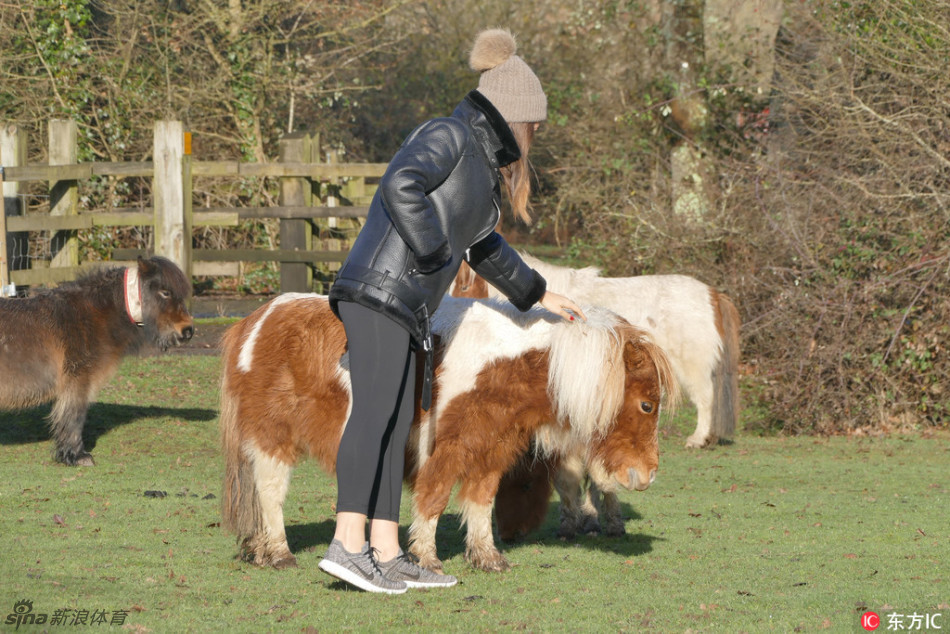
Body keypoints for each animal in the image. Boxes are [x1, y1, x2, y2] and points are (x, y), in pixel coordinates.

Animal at [0, 256, 193, 464]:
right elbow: (74, 415)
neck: (92, 314)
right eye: (165, 292)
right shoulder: (78, 380)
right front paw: (76, 455)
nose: (188, 331)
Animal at [219, 294, 676, 572]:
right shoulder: (446, 449)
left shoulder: (492, 448)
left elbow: (481, 500)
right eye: (646, 405)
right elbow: (434, 497)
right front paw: (426, 558)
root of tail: (255, 321)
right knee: (270, 494)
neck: (500, 363)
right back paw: (279, 553)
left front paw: (487, 556)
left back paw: (260, 550)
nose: (648, 475)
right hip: (272, 440)